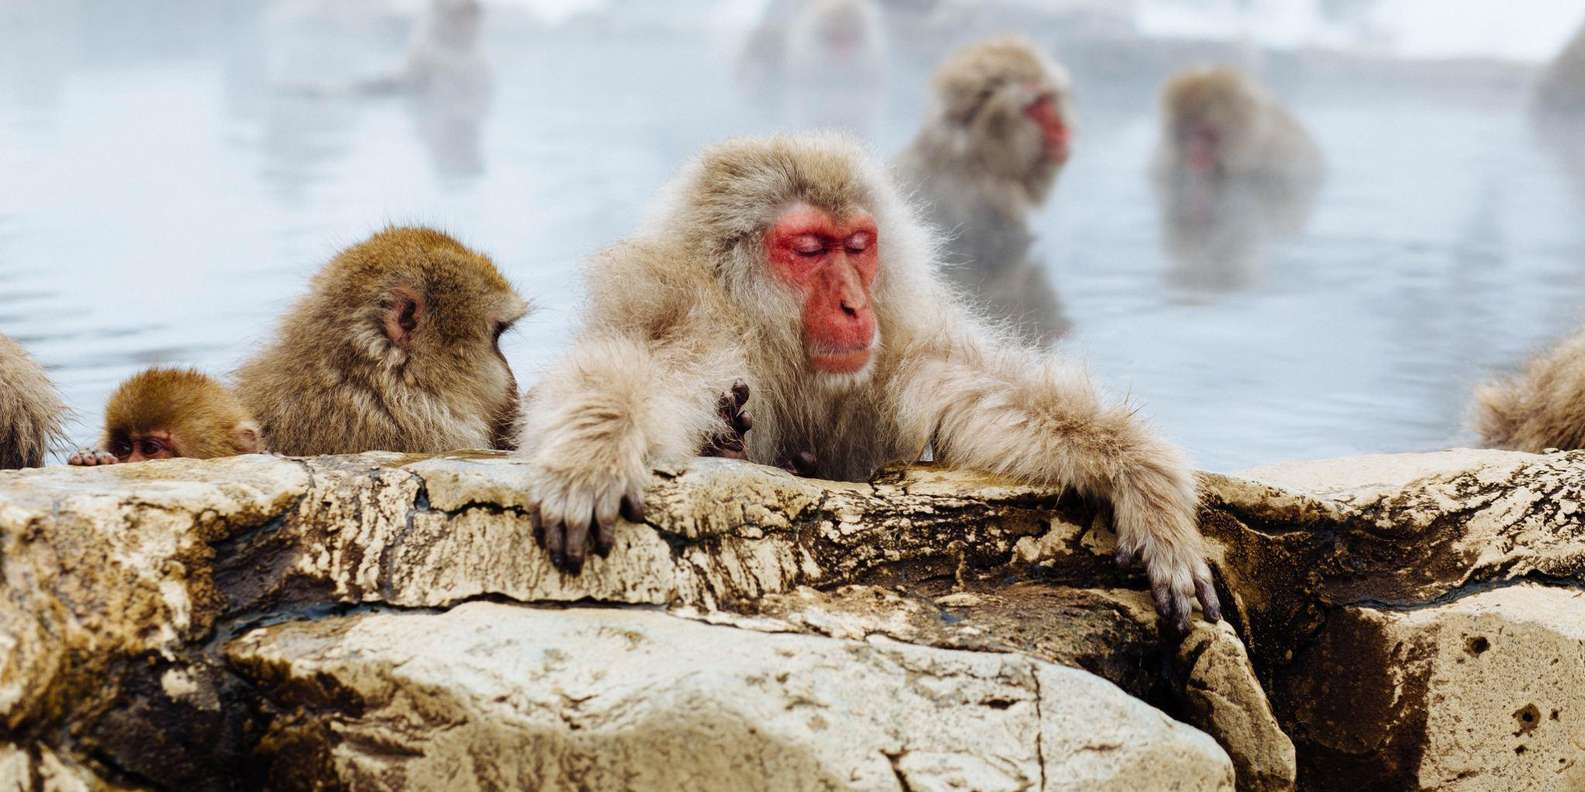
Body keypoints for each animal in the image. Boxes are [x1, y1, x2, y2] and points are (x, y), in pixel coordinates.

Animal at [517, 133, 1220, 634]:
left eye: (857, 245)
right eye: (809, 248)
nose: (855, 305)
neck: (773, 341)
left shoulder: (897, 345)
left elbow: (984, 398)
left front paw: (1143, 483)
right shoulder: (692, 319)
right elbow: (639, 371)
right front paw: (593, 452)